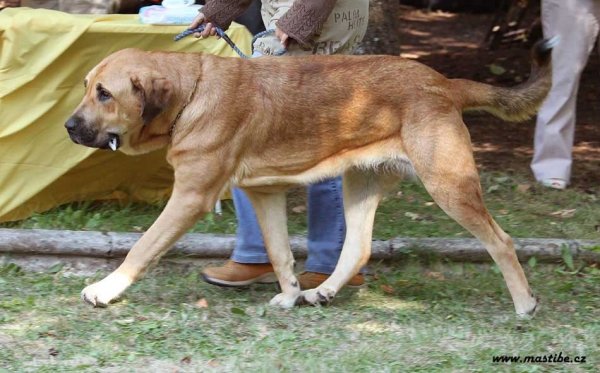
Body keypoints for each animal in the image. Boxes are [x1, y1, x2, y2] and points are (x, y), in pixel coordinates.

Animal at [65, 37, 556, 316]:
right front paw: (289, 295)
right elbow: (280, 253)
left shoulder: (190, 197)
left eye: (105, 94)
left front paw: (105, 290)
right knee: (356, 249)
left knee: (501, 241)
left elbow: (142, 247)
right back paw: (322, 293)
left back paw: (525, 304)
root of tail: (445, 83)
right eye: (86, 86)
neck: (192, 92)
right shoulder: (264, 195)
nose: (69, 127)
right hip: (360, 186)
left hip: (449, 184)